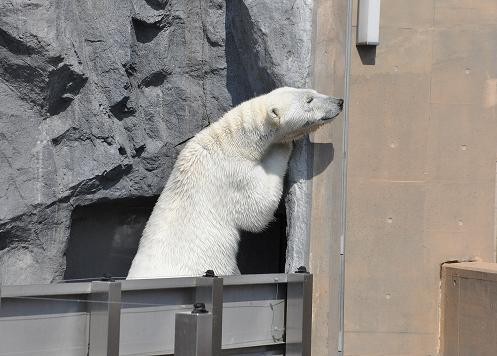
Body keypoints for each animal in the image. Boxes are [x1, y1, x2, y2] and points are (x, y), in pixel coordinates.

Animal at [126, 87, 340, 280]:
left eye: (313, 91)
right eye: (309, 100)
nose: (339, 102)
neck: (233, 141)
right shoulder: (233, 174)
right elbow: (257, 210)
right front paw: (283, 146)